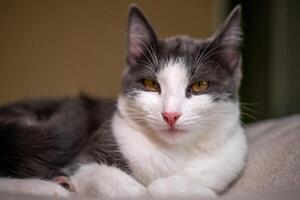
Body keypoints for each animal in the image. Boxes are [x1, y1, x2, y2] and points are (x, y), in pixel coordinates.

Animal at [0, 4, 246, 198]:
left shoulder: (228, 161)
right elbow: (116, 180)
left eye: (199, 86)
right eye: (150, 84)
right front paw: (145, 191)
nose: (170, 115)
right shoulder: (86, 159)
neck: (173, 153)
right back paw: (56, 187)